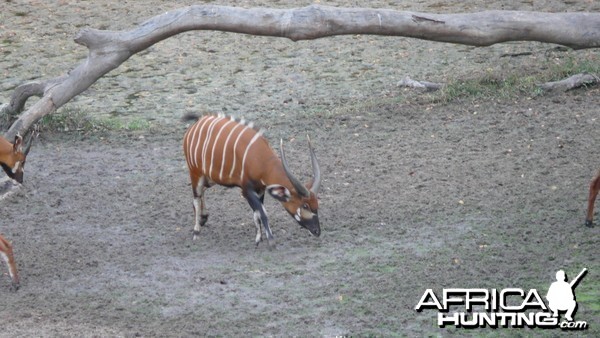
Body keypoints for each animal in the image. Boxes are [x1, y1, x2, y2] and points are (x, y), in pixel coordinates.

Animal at [183, 114, 322, 246]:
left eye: (316, 204)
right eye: (305, 205)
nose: (317, 231)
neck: (260, 159)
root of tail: (197, 123)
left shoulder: (260, 190)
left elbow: (257, 214)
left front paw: (259, 239)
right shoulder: (246, 190)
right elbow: (262, 213)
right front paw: (270, 241)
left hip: (210, 177)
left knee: (202, 191)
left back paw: (203, 218)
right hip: (195, 173)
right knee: (196, 197)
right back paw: (196, 231)